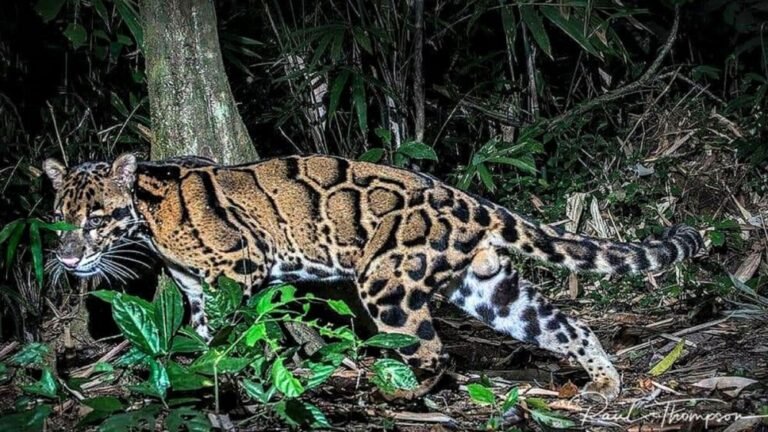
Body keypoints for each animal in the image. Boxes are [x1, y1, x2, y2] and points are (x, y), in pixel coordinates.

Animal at [43, 153, 704, 401]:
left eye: (95, 220)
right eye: (58, 219)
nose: (68, 258)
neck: (150, 215)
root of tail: (471, 201)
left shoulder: (241, 268)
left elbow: (241, 334)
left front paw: (237, 376)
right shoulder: (197, 289)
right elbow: (206, 336)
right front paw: (199, 373)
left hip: (386, 282)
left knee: (432, 352)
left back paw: (401, 394)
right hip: (486, 288)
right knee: (565, 325)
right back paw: (606, 381)